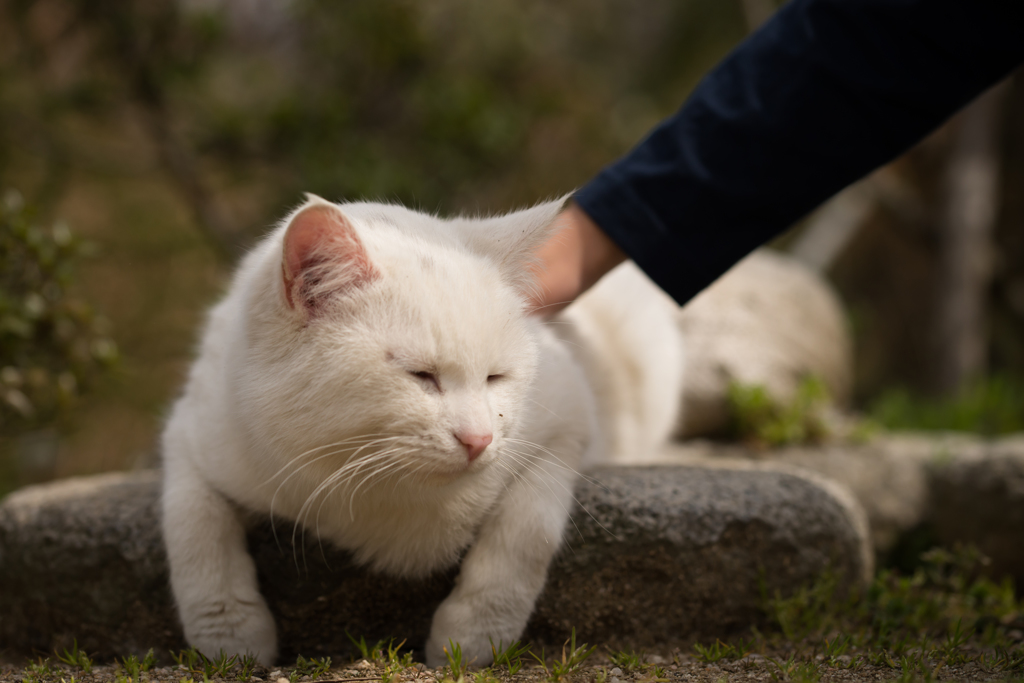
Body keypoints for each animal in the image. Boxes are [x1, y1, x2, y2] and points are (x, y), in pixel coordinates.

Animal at [159, 192, 679, 667]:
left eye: (496, 378)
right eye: (421, 376)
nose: (478, 440)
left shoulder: (567, 420)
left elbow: (527, 529)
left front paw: (473, 635)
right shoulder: (192, 432)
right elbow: (194, 526)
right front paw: (230, 635)